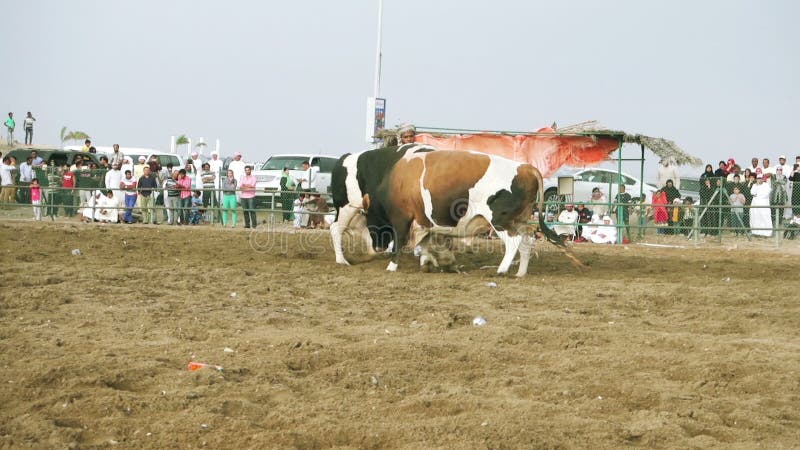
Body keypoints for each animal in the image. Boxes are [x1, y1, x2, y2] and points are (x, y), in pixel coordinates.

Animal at [370, 149, 564, 276]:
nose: (376, 247)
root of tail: (526, 167)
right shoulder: (423, 223)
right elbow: (425, 243)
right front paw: (430, 262)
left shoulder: (401, 218)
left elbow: (400, 240)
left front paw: (391, 267)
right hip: (520, 219)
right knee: (527, 241)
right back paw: (520, 273)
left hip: (500, 220)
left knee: (514, 240)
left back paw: (501, 270)